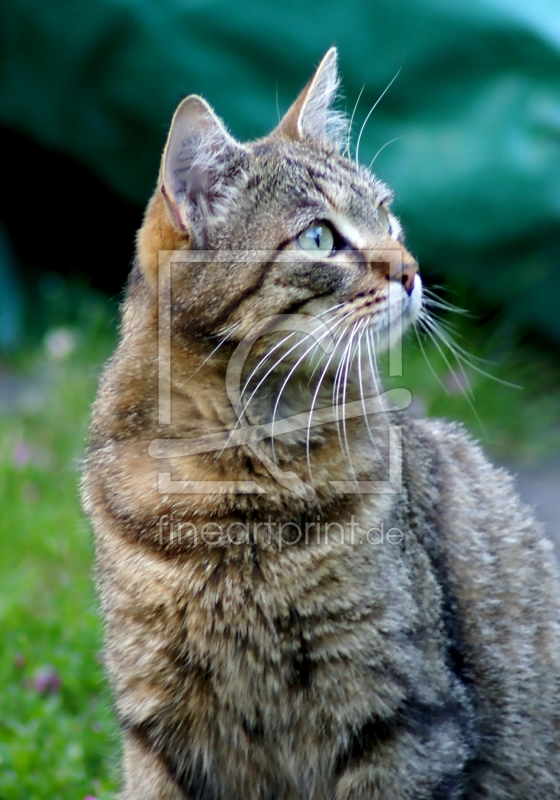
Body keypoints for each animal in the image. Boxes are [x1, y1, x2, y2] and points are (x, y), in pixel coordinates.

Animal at [81, 50, 560, 800]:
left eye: (387, 215)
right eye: (318, 237)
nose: (412, 271)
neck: (240, 473)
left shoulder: (400, 714)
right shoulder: (160, 720)